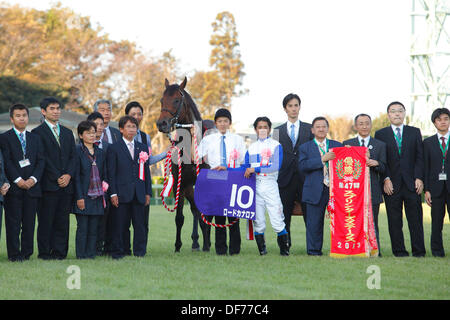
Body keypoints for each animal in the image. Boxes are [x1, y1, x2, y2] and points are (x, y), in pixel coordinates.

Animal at [156, 77, 214, 252]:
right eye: (162, 100)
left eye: (176, 100)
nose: (161, 123)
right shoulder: (180, 183)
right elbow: (180, 217)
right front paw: (177, 246)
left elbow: (205, 215)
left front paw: (207, 245)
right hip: (189, 188)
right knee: (195, 210)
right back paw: (195, 242)